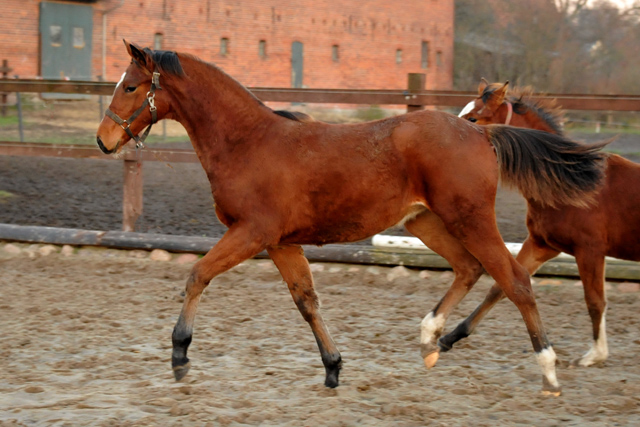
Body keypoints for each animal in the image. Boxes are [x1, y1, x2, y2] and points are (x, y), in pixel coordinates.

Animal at [95, 41, 608, 396]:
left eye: (131, 86)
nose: (103, 140)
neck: (248, 141)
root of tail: (482, 134)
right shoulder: (281, 241)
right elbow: (306, 300)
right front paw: (333, 367)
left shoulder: (252, 232)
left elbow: (198, 274)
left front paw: (180, 353)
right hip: (424, 222)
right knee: (469, 267)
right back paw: (431, 341)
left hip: (470, 219)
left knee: (515, 279)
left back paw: (547, 370)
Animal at [456, 79, 640, 368]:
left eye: (473, 117)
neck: (570, 182)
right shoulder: (542, 245)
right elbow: (502, 287)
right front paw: (450, 336)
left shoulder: (590, 251)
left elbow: (595, 301)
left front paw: (594, 355)